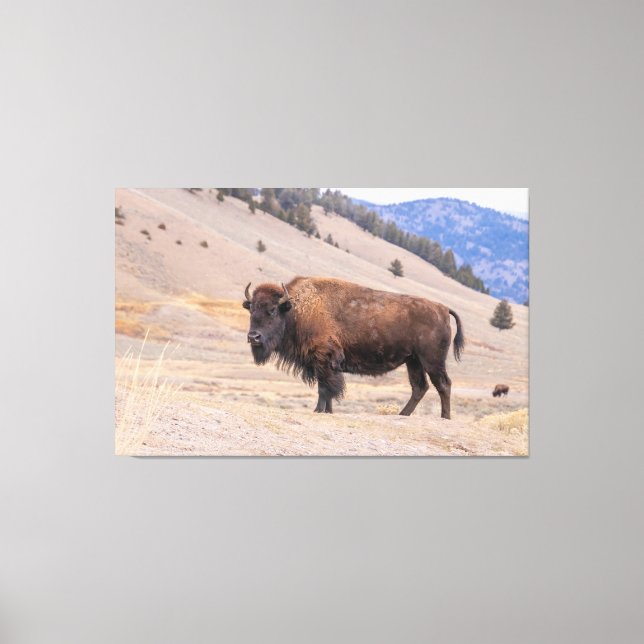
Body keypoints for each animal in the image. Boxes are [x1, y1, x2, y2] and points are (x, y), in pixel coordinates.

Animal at [243, 276, 464, 419]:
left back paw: (444, 417)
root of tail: (442, 309)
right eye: (251, 309)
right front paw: (327, 411)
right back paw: (404, 414)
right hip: (413, 361)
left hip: (432, 361)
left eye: (272, 310)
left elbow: (325, 388)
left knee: (443, 384)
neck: (296, 309)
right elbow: (327, 388)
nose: (253, 337)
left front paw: (318, 410)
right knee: (420, 387)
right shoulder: (323, 364)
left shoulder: (324, 359)